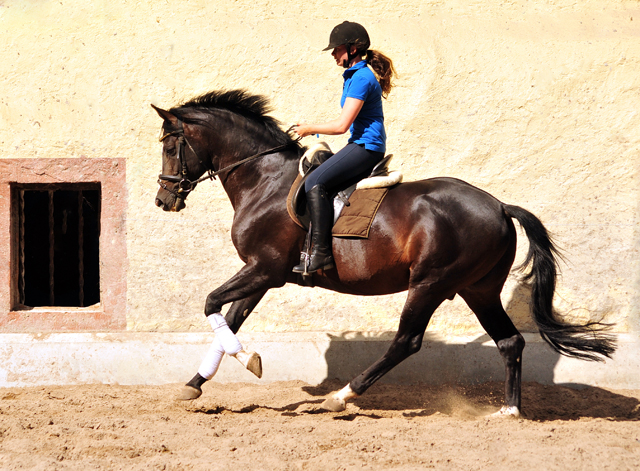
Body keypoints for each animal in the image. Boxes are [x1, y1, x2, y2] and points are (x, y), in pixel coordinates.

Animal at [151, 88, 616, 416]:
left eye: (171, 146)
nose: (163, 200)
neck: (263, 178)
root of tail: (500, 206)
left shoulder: (264, 268)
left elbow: (211, 303)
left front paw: (248, 359)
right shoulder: (263, 274)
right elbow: (229, 318)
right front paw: (195, 383)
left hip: (430, 283)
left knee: (406, 342)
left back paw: (342, 396)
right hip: (478, 288)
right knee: (510, 341)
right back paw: (509, 410)